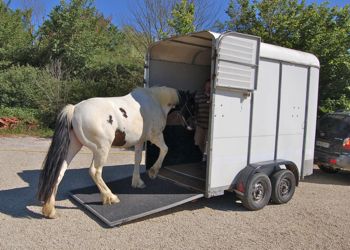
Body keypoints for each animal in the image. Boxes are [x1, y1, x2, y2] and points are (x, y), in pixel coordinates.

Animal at [37, 86, 187, 219]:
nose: (188, 128)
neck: (155, 99)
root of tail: (74, 110)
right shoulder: (155, 136)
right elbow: (165, 149)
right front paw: (153, 171)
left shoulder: (139, 141)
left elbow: (137, 160)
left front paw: (137, 182)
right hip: (102, 149)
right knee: (95, 171)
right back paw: (110, 197)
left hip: (73, 147)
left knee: (59, 172)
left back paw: (50, 210)